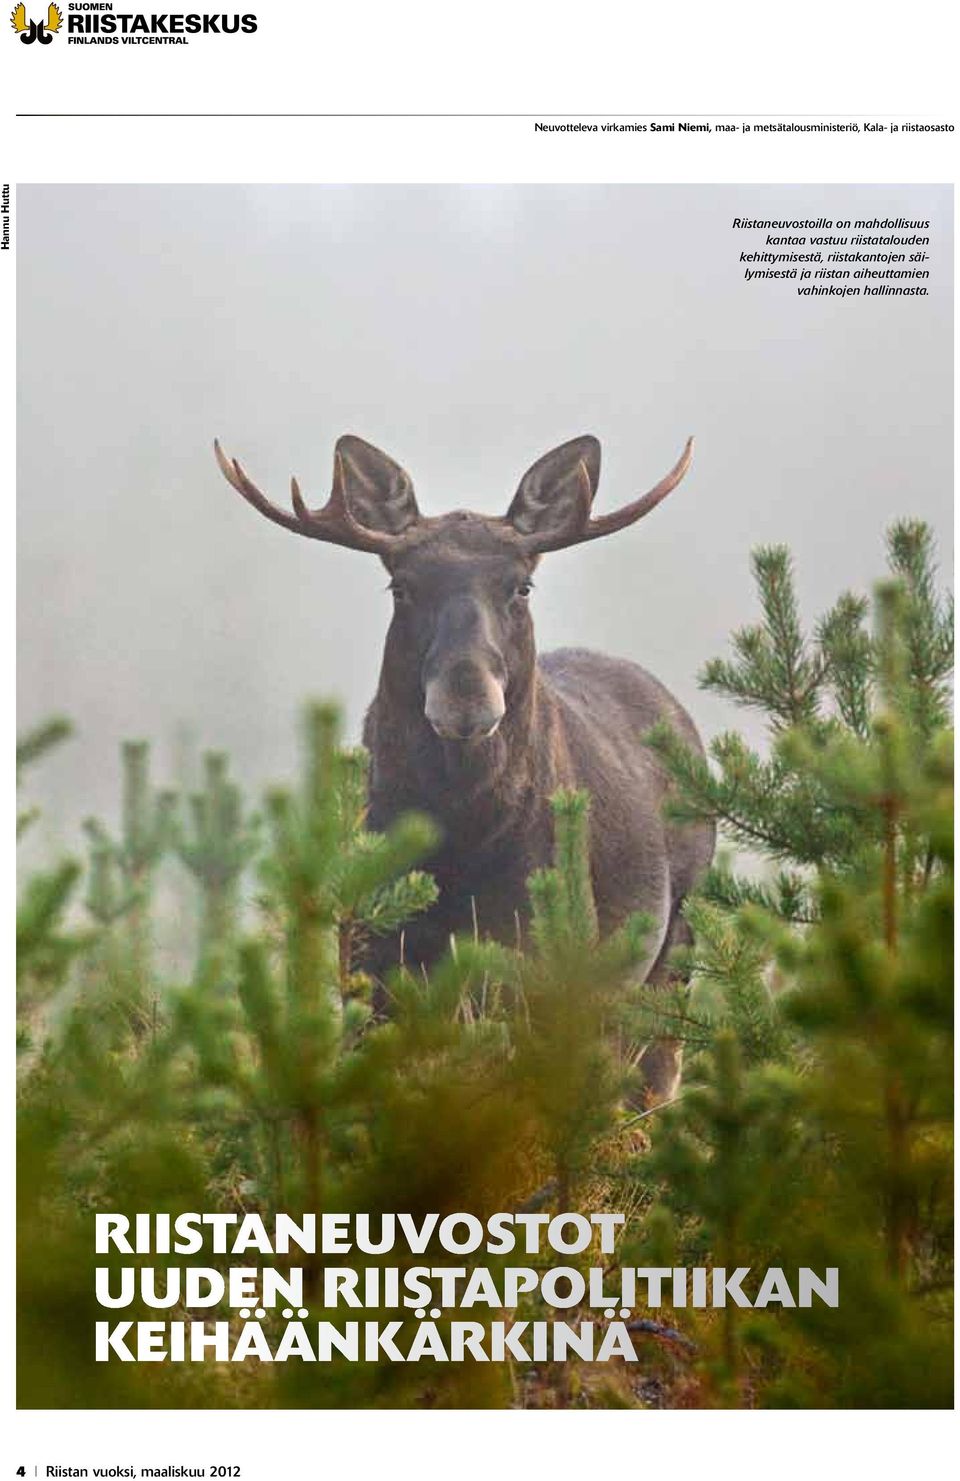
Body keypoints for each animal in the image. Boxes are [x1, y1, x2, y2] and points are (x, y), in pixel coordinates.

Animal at [213, 429, 717, 1101]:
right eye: (401, 586)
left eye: (521, 586)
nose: (466, 699)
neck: (461, 841)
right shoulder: (368, 953)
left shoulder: (538, 954)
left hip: (675, 933)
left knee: (653, 1069)